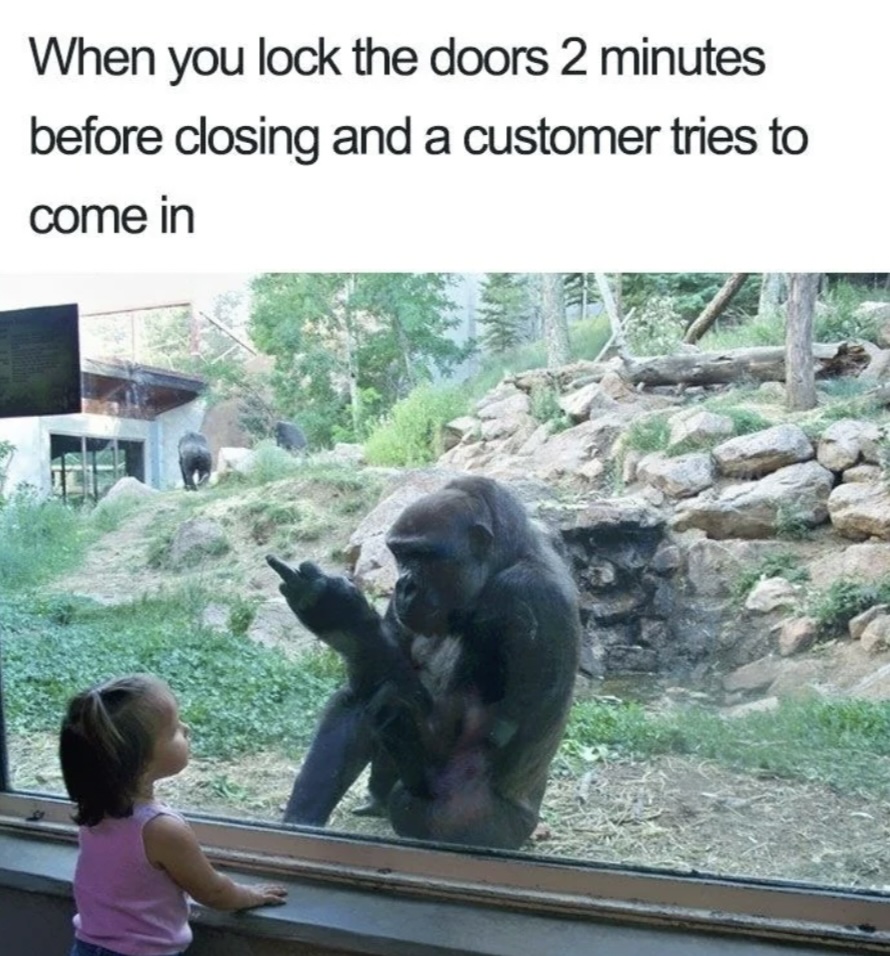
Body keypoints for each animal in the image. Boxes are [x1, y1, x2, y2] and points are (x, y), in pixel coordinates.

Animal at [268, 474, 580, 848]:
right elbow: (359, 692)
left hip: (505, 833)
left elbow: (472, 740)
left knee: (415, 798)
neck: (503, 562)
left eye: (423, 555)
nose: (404, 585)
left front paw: (338, 612)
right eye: (400, 555)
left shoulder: (523, 597)